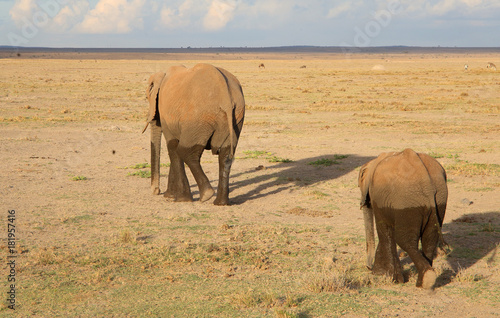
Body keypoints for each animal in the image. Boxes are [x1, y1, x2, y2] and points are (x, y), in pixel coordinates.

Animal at [143, 63, 244, 205]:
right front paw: (170, 197)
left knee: (185, 151)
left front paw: (180, 199)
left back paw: (207, 195)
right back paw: (220, 203)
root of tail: (225, 97)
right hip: (236, 116)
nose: (156, 191)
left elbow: (172, 147)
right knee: (225, 155)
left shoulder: (165, 112)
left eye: (147, 97)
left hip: (197, 119)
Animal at [358, 148, 448, 288]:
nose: (368, 267)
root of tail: (427, 185)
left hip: (406, 203)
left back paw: (426, 279)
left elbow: (385, 230)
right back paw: (424, 282)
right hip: (439, 200)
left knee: (405, 240)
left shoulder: (379, 197)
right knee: (430, 239)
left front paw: (386, 276)